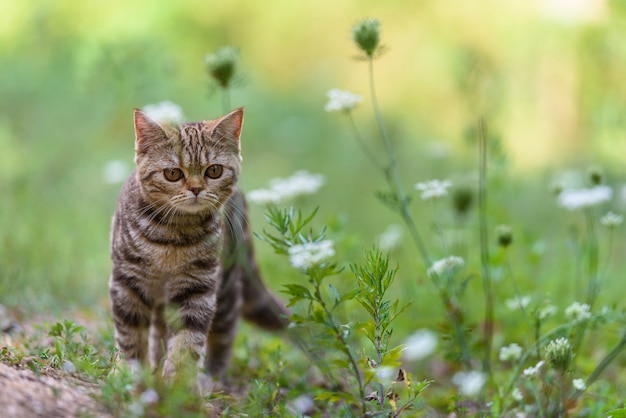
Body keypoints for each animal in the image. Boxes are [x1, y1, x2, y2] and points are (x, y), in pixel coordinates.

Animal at [109, 108, 288, 382]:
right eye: (173, 173)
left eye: (213, 170)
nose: (196, 188)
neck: (173, 236)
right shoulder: (127, 280)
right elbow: (130, 333)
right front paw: (130, 373)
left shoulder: (197, 287)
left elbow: (187, 340)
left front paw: (179, 383)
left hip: (225, 287)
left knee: (225, 333)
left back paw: (211, 377)